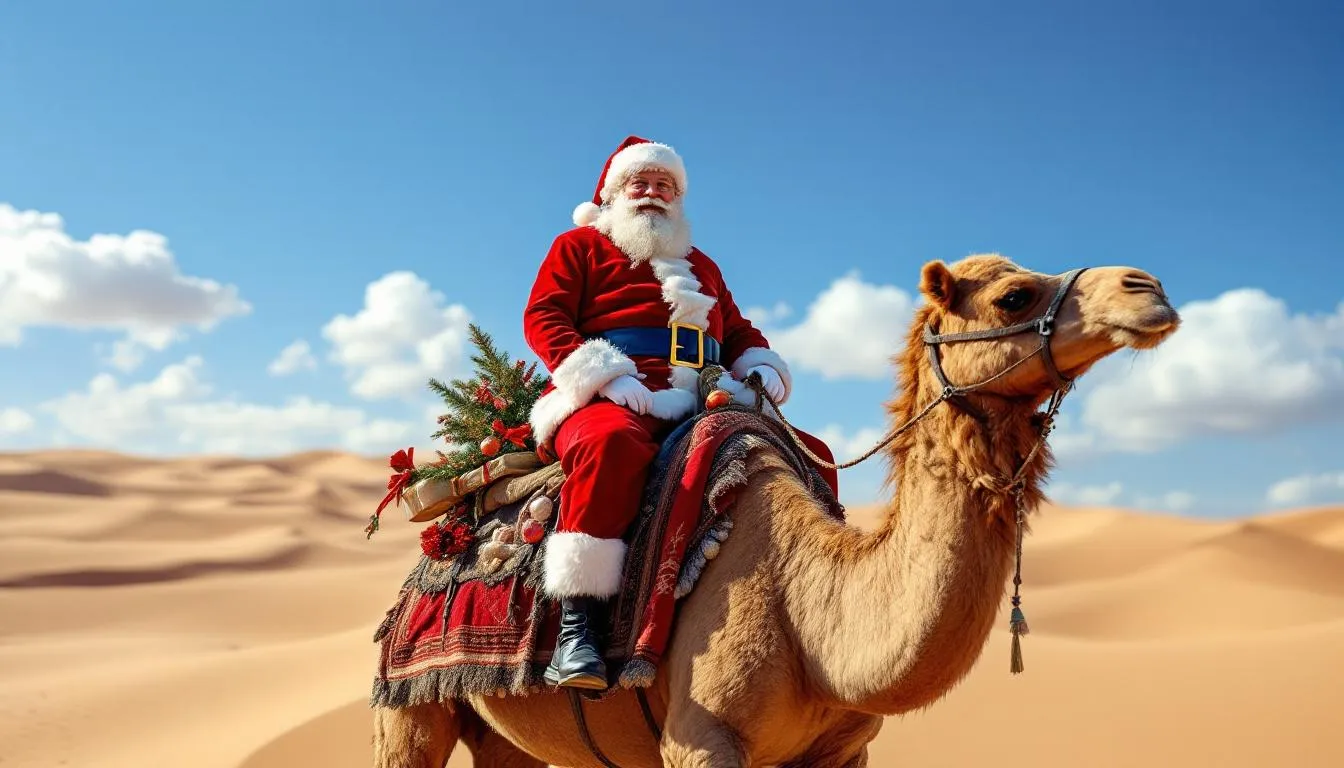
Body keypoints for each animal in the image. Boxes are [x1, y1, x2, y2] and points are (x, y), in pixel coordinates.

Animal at [373, 253, 1180, 768]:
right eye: (1015, 295)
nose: (1149, 289)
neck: (809, 615)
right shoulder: (699, 743)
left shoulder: (844, 755)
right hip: (406, 711)